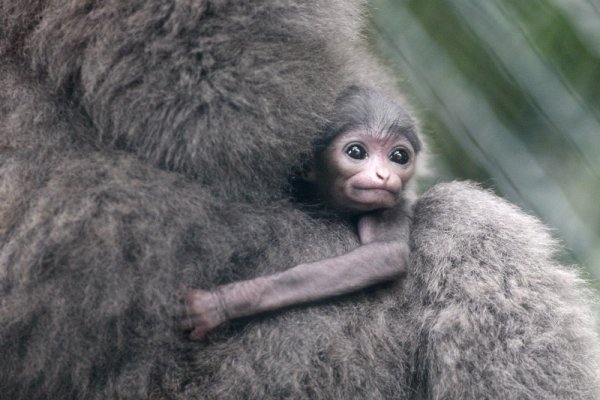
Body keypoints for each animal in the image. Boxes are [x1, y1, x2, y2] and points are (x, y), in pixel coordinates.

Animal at [183, 86, 422, 340]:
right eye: (356, 152)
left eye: (399, 156)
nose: (383, 175)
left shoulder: (393, 205)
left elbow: (386, 254)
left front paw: (223, 302)